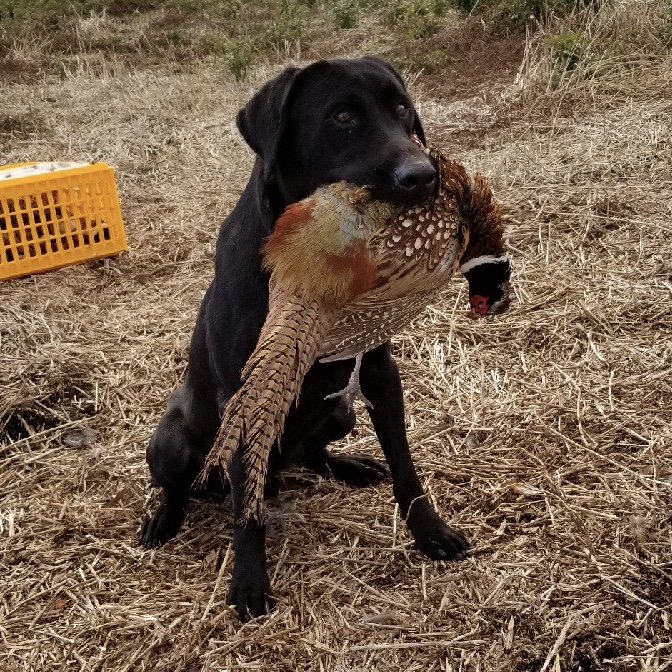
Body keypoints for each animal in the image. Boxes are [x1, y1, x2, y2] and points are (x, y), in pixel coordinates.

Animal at [142, 55, 468, 624]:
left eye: (402, 108)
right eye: (342, 116)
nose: (423, 177)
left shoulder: (380, 373)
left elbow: (406, 467)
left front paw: (430, 531)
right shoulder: (244, 397)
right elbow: (246, 515)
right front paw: (249, 583)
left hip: (341, 411)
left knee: (308, 456)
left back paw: (350, 466)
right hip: (172, 442)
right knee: (187, 488)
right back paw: (165, 518)